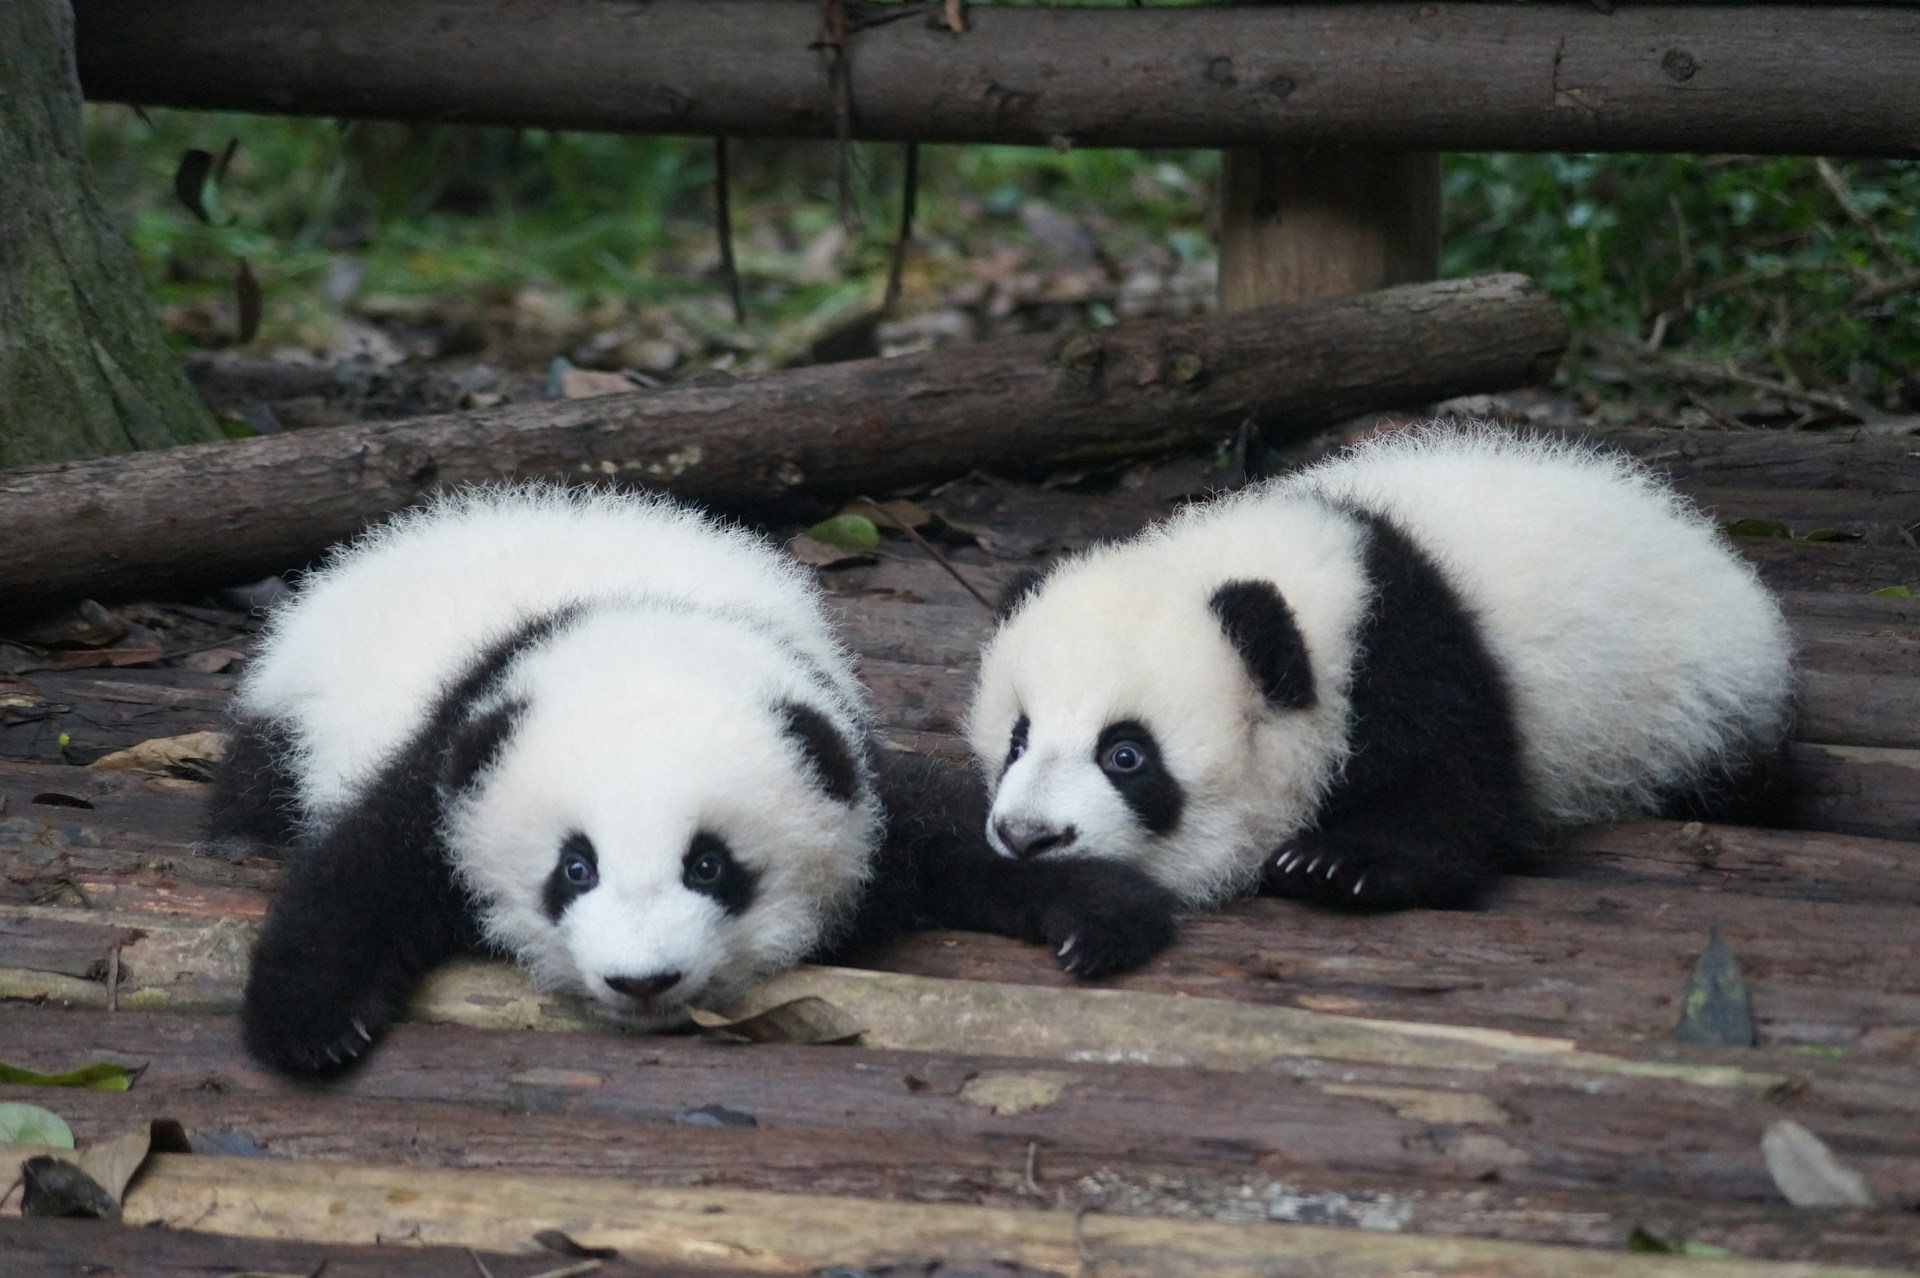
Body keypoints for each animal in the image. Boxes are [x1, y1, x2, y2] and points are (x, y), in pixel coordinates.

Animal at [217, 484, 1174, 1075]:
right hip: (291, 708)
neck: (645, 623)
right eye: (575, 869)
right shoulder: (458, 746)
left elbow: (948, 832)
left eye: (710, 866)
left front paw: (1099, 912)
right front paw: (311, 1026)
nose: (642, 982)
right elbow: (362, 870)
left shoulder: (838, 750)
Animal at [968, 425, 1796, 913]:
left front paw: (1335, 864)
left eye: (1126, 755)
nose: (1027, 836)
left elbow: (1459, 797)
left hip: (1696, 707)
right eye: (1017, 740)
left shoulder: (1414, 654)